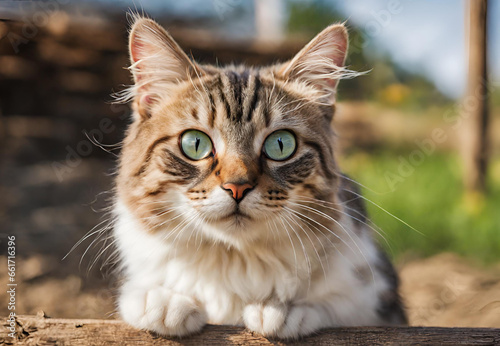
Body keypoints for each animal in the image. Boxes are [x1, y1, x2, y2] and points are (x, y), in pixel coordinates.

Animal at [113, 14, 406, 340]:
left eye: (280, 145)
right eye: (195, 144)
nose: (237, 187)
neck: (235, 259)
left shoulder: (378, 295)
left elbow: (339, 305)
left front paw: (278, 309)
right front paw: (164, 303)